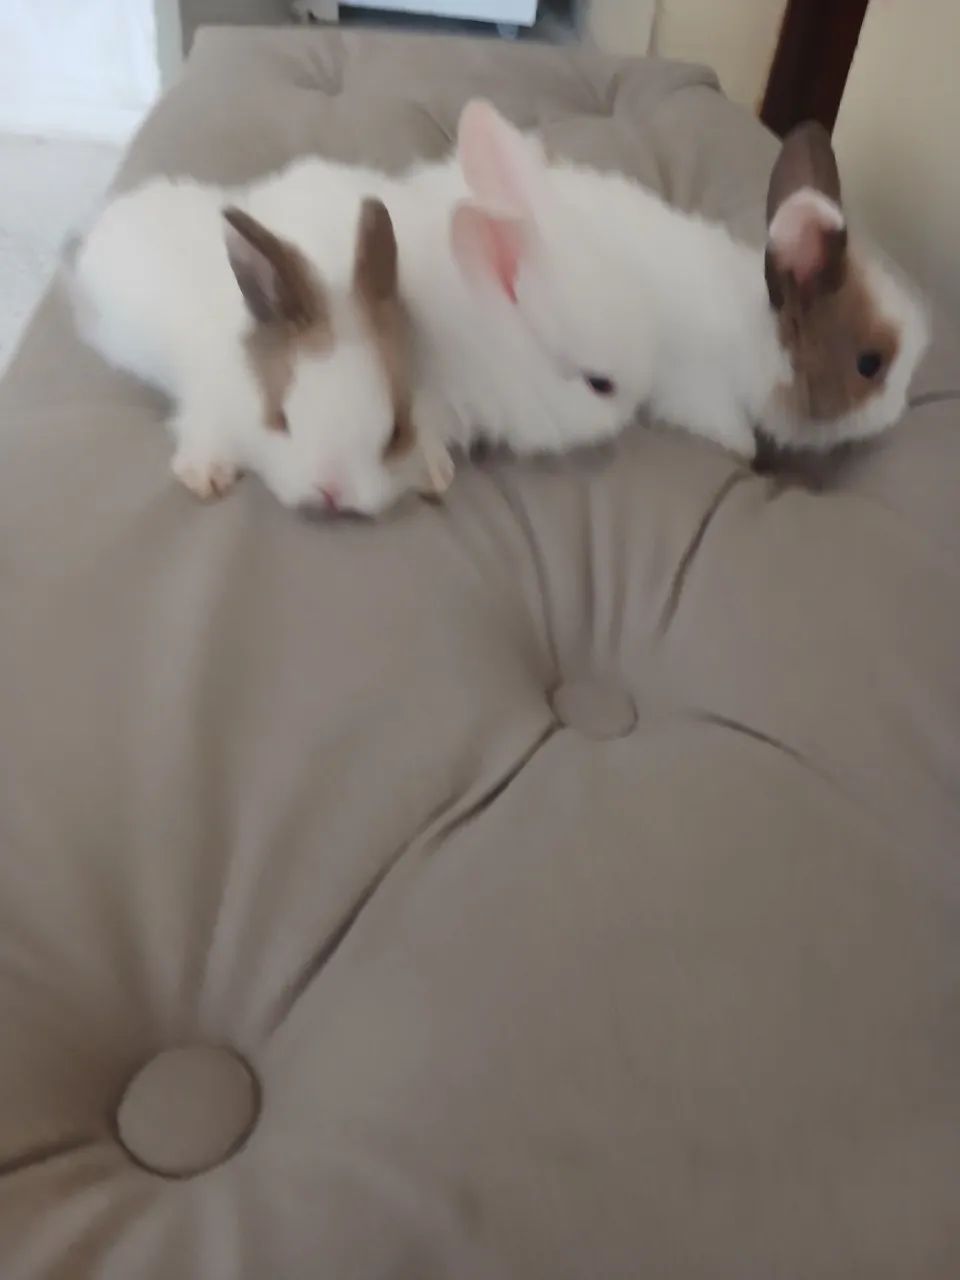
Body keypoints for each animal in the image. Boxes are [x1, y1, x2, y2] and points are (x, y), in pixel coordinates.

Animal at [72, 173, 453, 516]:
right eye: (280, 417)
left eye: (397, 432)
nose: (332, 492)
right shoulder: (208, 401)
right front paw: (206, 475)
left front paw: (434, 470)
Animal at [449, 101, 930, 462]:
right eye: (869, 364)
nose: (897, 413)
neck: (759, 340)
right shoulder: (700, 392)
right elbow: (729, 429)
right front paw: (745, 449)